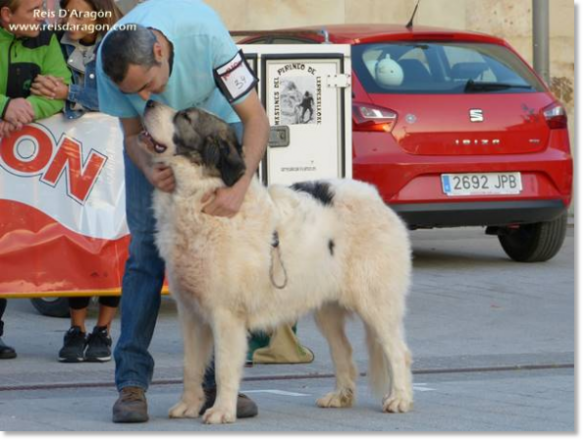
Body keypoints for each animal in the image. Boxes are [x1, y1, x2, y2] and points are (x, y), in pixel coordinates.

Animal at [143, 101, 412, 424]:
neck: (199, 198)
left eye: (185, 117)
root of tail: (377, 198)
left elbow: (223, 368)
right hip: (326, 308)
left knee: (397, 350)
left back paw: (399, 399)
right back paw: (340, 396)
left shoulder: (225, 315)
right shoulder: (191, 314)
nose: (149, 103)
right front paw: (188, 405)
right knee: (343, 351)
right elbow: (191, 365)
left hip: (376, 302)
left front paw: (221, 411)